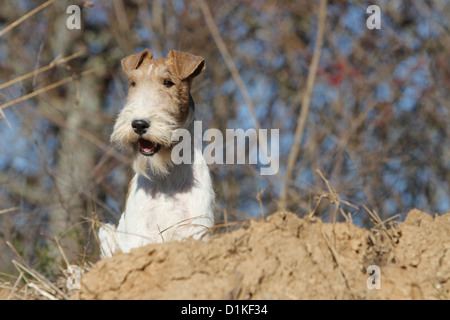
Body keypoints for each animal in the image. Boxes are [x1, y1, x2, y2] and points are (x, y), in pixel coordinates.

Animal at [99, 49, 215, 258]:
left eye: (168, 82)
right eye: (133, 83)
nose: (138, 124)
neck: (166, 176)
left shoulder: (197, 229)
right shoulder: (138, 236)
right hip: (106, 232)